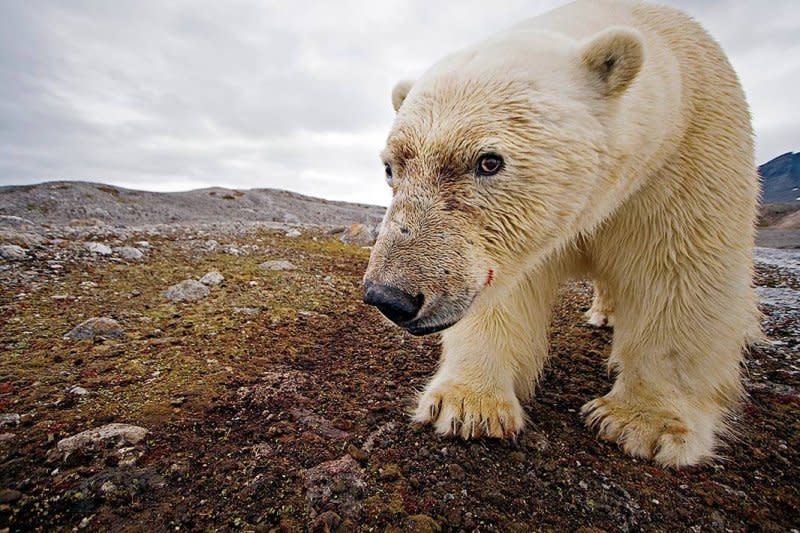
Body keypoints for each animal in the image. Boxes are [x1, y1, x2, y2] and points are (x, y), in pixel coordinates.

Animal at [366, 0, 760, 466]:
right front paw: (467, 405)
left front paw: (644, 424)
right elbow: (507, 292)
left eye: (489, 161)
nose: (390, 296)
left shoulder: (685, 161)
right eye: (390, 167)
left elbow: (680, 274)